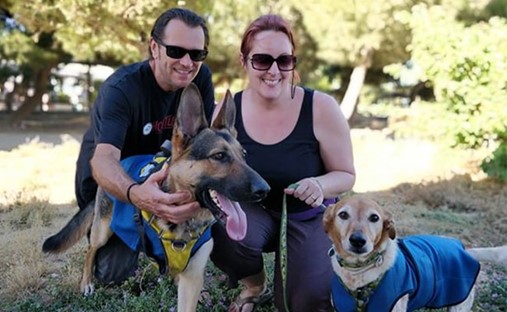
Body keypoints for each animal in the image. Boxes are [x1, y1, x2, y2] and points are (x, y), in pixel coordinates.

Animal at [42, 83, 272, 312]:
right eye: (219, 156)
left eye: (243, 155)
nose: (265, 190)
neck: (185, 224)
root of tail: (121, 160)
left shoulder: (192, 277)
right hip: (103, 231)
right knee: (91, 249)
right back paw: (86, 282)